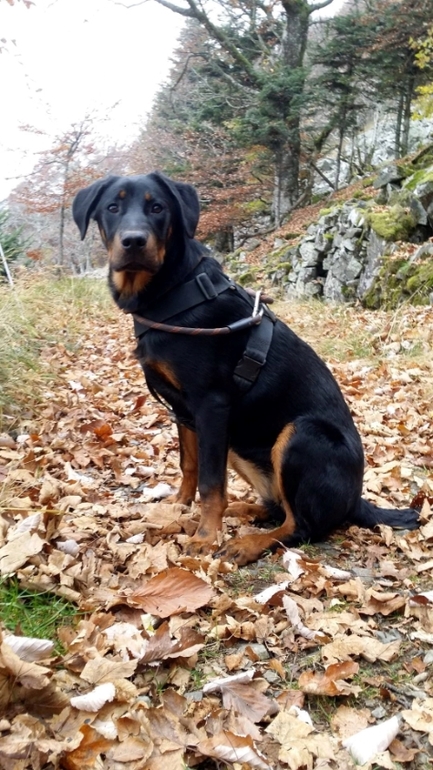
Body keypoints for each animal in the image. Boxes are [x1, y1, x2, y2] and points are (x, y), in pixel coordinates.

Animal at [72, 172, 419, 565]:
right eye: (112, 207)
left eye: (157, 207)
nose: (133, 241)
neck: (171, 293)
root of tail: (356, 500)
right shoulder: (184, 411)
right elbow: (189, 465)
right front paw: (178, 507)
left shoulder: (211, 404)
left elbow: (211, 483)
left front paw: (205, 537)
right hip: (238, 444)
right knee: (278, 507)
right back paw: (245, 511)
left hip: (299, 434)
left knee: (302, 526)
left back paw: (248, 543)